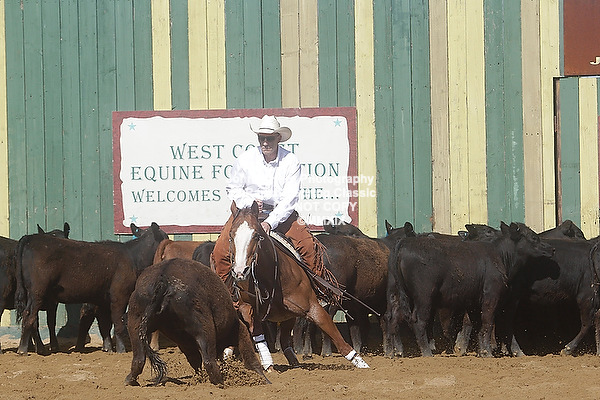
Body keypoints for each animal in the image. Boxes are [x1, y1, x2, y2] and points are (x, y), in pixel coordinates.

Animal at [15, 222, 168, 355]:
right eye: (165, 237)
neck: (133, 257)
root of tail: (31, 238)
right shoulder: (119, 296)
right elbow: (118, 323)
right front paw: (121, 349)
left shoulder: (103, 299)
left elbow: (105, 324)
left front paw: (108, 348)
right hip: (37, 292)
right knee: (29, 315)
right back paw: (23, 349)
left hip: (31, 294)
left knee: (29, 316)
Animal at [125, 258, 269, 387]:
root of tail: (163, 281)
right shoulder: (238, 330)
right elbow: (249, 355)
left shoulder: (185, 342)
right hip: (204, 329)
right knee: (209, 361)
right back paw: (220, 381)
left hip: (135, 323)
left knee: (138, 358)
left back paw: (130, 380)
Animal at [227, 201, 369, 370]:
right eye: (231, 236)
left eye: (256, 235)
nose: (240, 271)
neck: (271, 277)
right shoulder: (247, 307)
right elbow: (257, 333)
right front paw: (267, 364)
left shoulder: (312, 306)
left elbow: (332, 330)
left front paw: (361, 363)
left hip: (290, 314)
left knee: (286, 338)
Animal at [384, 222, 554, 357]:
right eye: (534, 238)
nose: (551, 248)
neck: (500, 256)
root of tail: (404, 244)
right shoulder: (491, 296)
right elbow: (488, 322)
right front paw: (487, 352)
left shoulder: (473, 302)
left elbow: (478, 325)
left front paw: (481, 351)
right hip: (424, 297)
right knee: (419, 321)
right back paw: (426, 353)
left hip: (397, 294)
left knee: (393, 318)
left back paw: (394, 352)